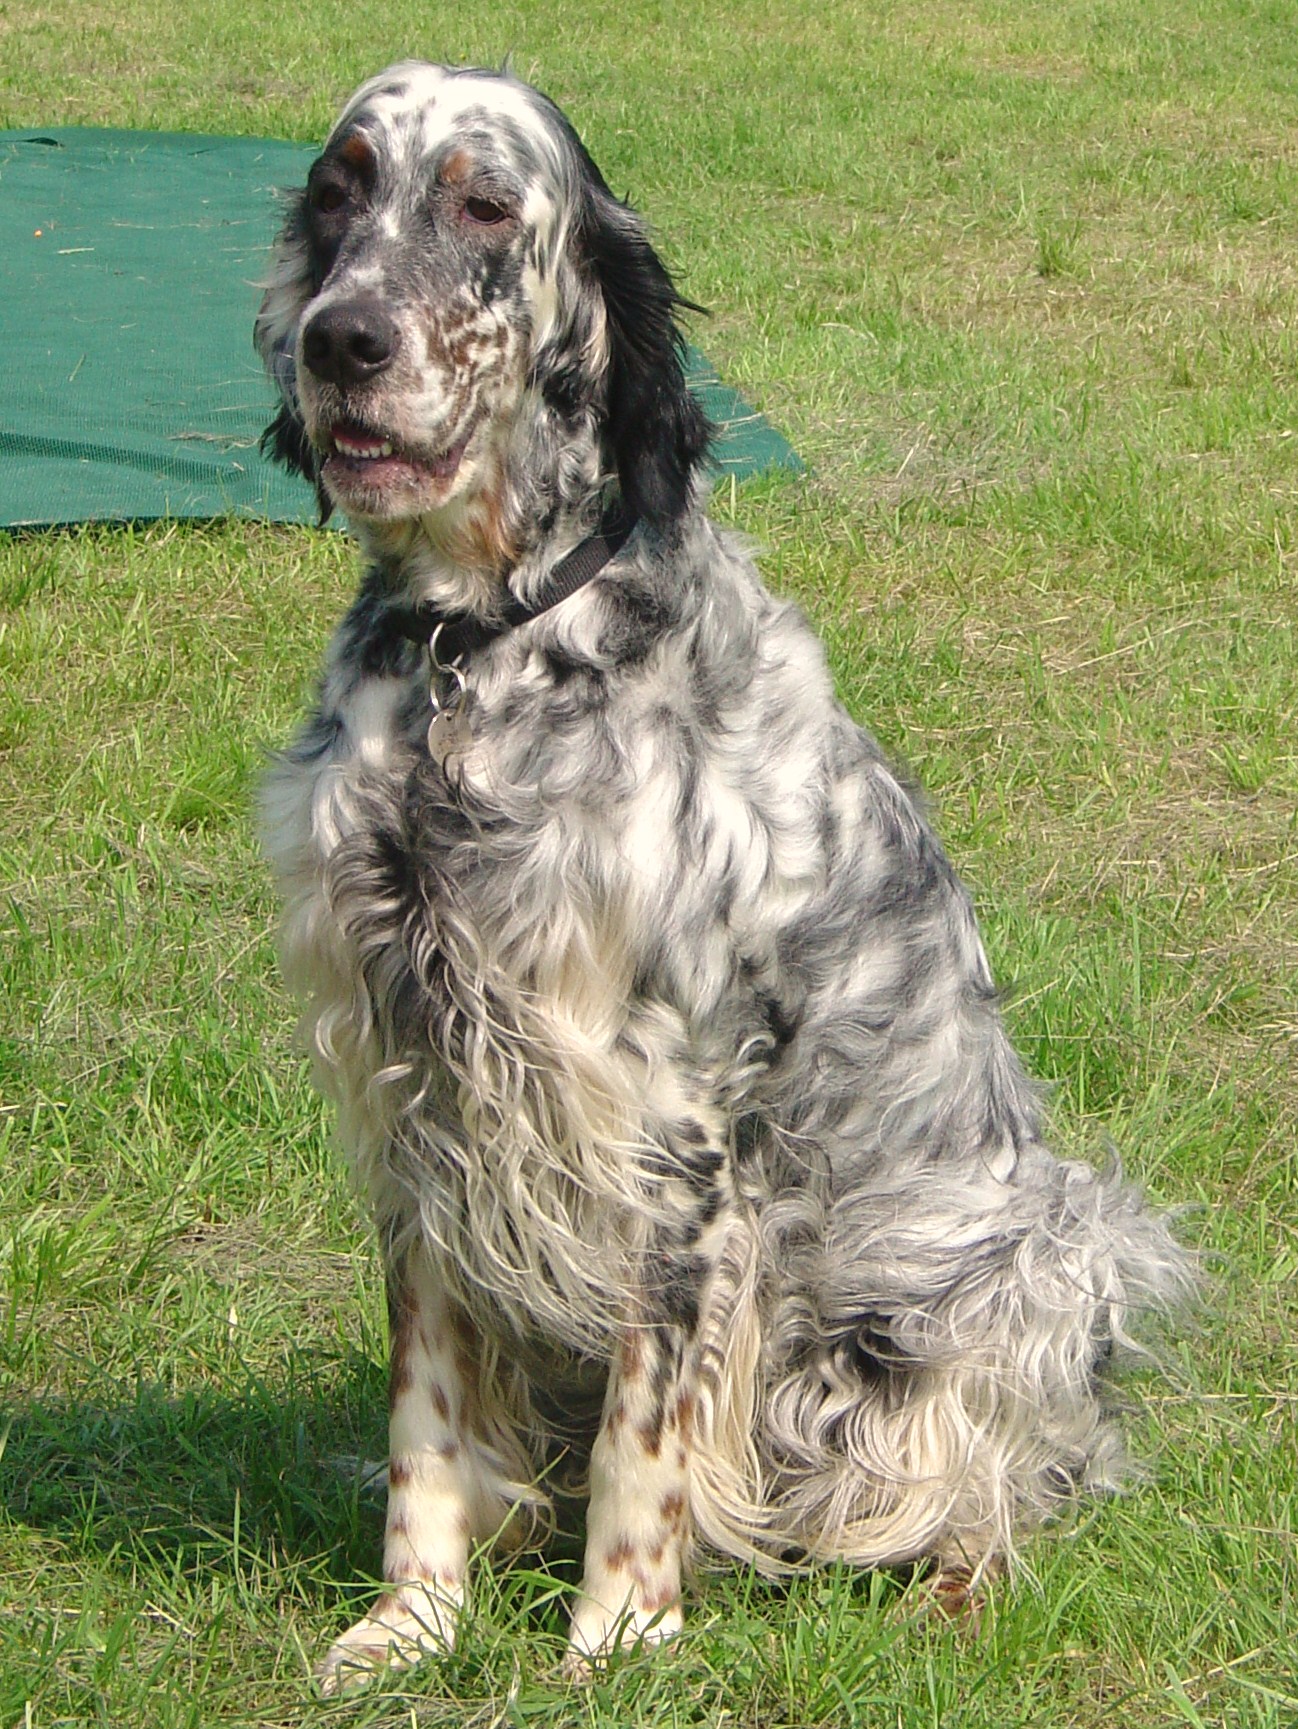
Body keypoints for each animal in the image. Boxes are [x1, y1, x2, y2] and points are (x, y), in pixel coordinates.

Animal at [250, 57, 1189, 1687]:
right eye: (336, 190)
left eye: (481, 205)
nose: (339, 339)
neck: (475, 656)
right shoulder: (419, 1089)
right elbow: (427, 1412)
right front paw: (410, 1621)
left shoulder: (670, 1128)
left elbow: (645, 1431)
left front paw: (618, 1631)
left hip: (1040, 1250)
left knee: (1014, 1471)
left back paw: (955, 1585)